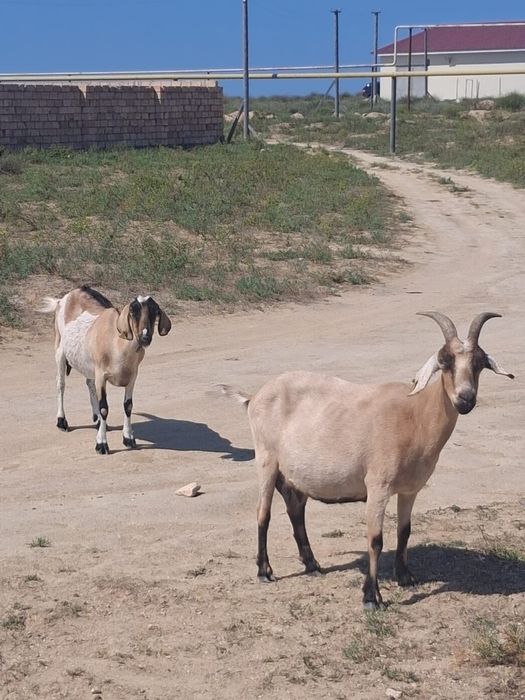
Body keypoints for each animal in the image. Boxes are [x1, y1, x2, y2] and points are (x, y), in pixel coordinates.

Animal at [41, 285, 171, 454]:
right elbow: (104, 408)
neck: (117, 345)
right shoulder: (101, 376)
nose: (145, 337)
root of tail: (69, 295)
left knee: (89, 384)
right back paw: (62, 421)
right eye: (132, 311)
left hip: (88, 363)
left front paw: (128, 438)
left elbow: (128, 406)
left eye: (155, 312)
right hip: (60, 349)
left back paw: (96, 419)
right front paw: (101, 444)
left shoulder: (132, 377)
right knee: (60, 384)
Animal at [221, 312, 514, 609]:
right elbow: (375, 540)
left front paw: (405, 577)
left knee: (295, 508)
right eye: (444, 361)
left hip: (295, 473)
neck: (415, 415)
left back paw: (312, 565)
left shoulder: (410, 489)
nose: (465, 399)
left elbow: (405, 531)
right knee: (263, 512)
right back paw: (264, 571)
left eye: (480, 363)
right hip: (266, 458)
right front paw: (372, 597)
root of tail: (254, 397)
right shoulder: (377, 486)